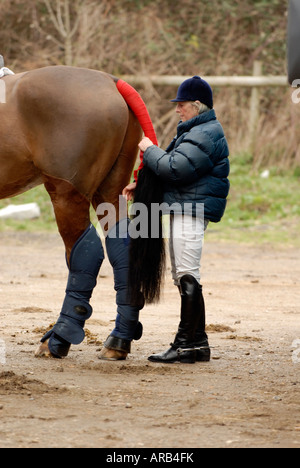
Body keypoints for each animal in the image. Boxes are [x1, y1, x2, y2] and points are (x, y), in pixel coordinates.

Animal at [0, 65, 150, 358]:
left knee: (84, 253)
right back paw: (118, 340)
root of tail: (111, 81)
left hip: (67, 194)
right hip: (110, 191)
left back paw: (57, 339)